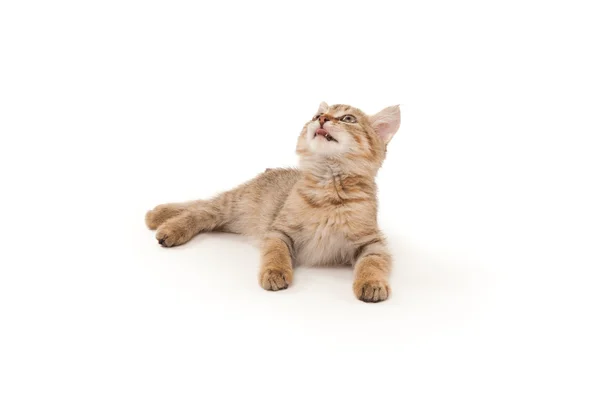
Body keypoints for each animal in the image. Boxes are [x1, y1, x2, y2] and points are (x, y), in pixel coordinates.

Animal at [143, 101, 400, 302]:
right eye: (316, 115)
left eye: (348, 118)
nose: (322, 118)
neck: (329, 189)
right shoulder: (279, 231)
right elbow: (276, 253)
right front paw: (274, 274)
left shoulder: (372, 243)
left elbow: (373, 263)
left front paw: (372, 284)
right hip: (231, 205)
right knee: (200, 209)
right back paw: (162, 222)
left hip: (231, 219)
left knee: (200, 207)